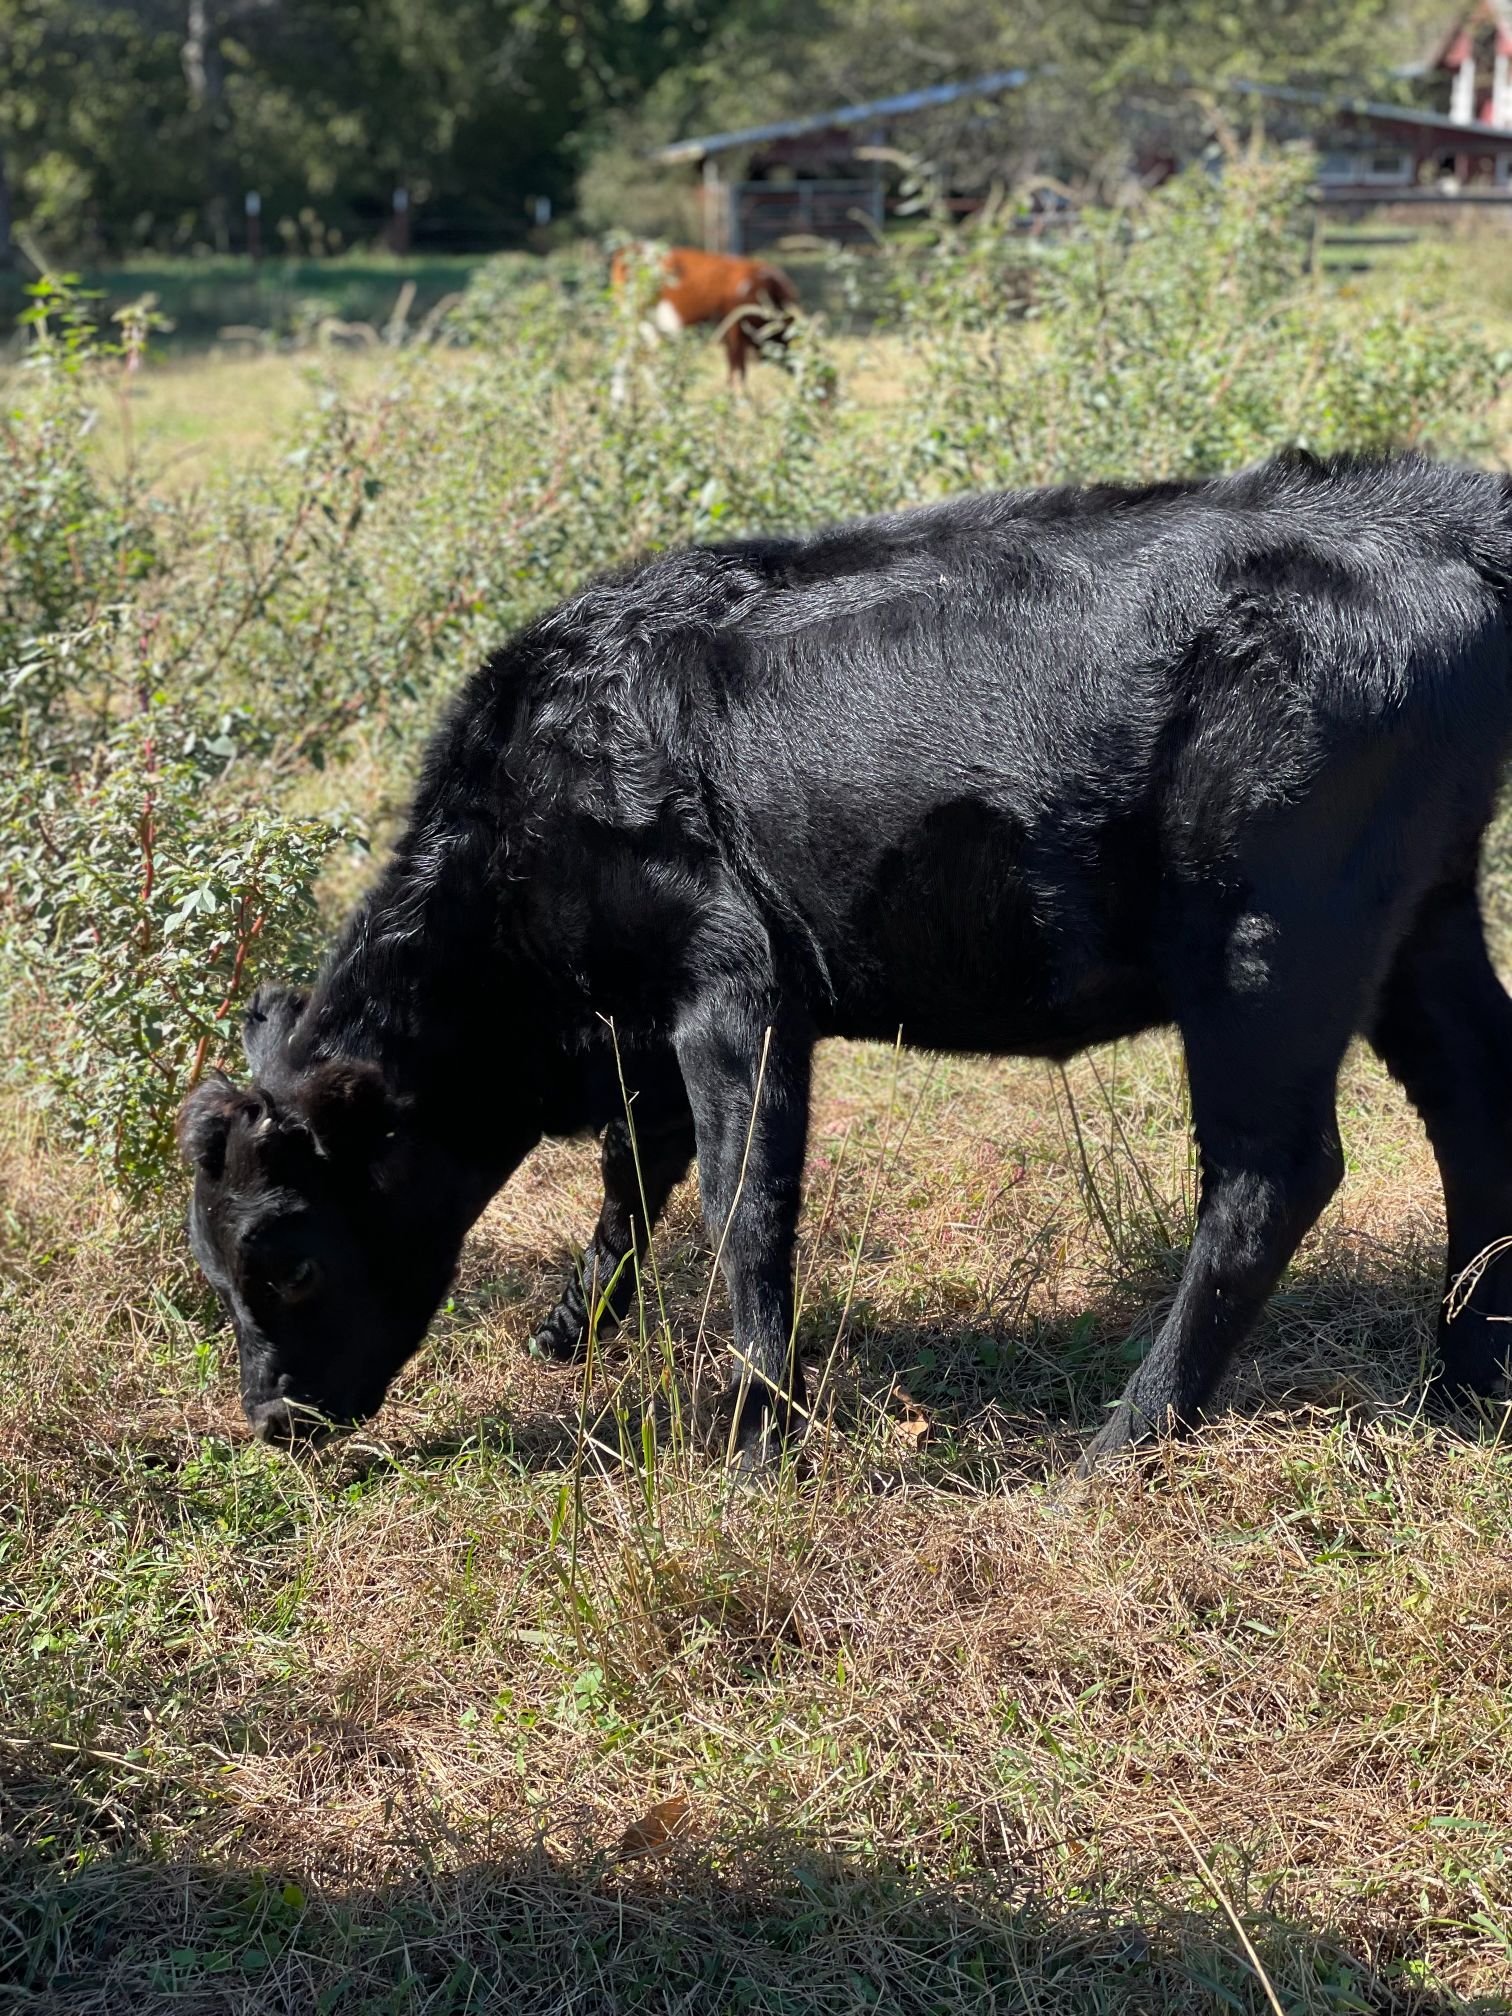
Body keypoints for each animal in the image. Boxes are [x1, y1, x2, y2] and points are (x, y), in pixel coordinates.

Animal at [180, 453, 1512, 1467]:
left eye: (290, 1262)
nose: (272, 1422)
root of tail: (1427, 506)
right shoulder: (644, 1031)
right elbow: (633, 1175)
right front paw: (573, 1327)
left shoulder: (734, 991)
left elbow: (743, 1209)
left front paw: (756, 1435)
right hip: (1424, 917)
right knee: (1471, 1108)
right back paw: (1464, 1379)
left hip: (1264, 947)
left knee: (1270, 1175)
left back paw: (1128, 1435)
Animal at [612, 244, 806, 385]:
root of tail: (628, 250)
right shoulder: (734, 328)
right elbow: (737, 371)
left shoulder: (732, 334)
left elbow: (736, 369)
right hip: (639, 324)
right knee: (631, 362)